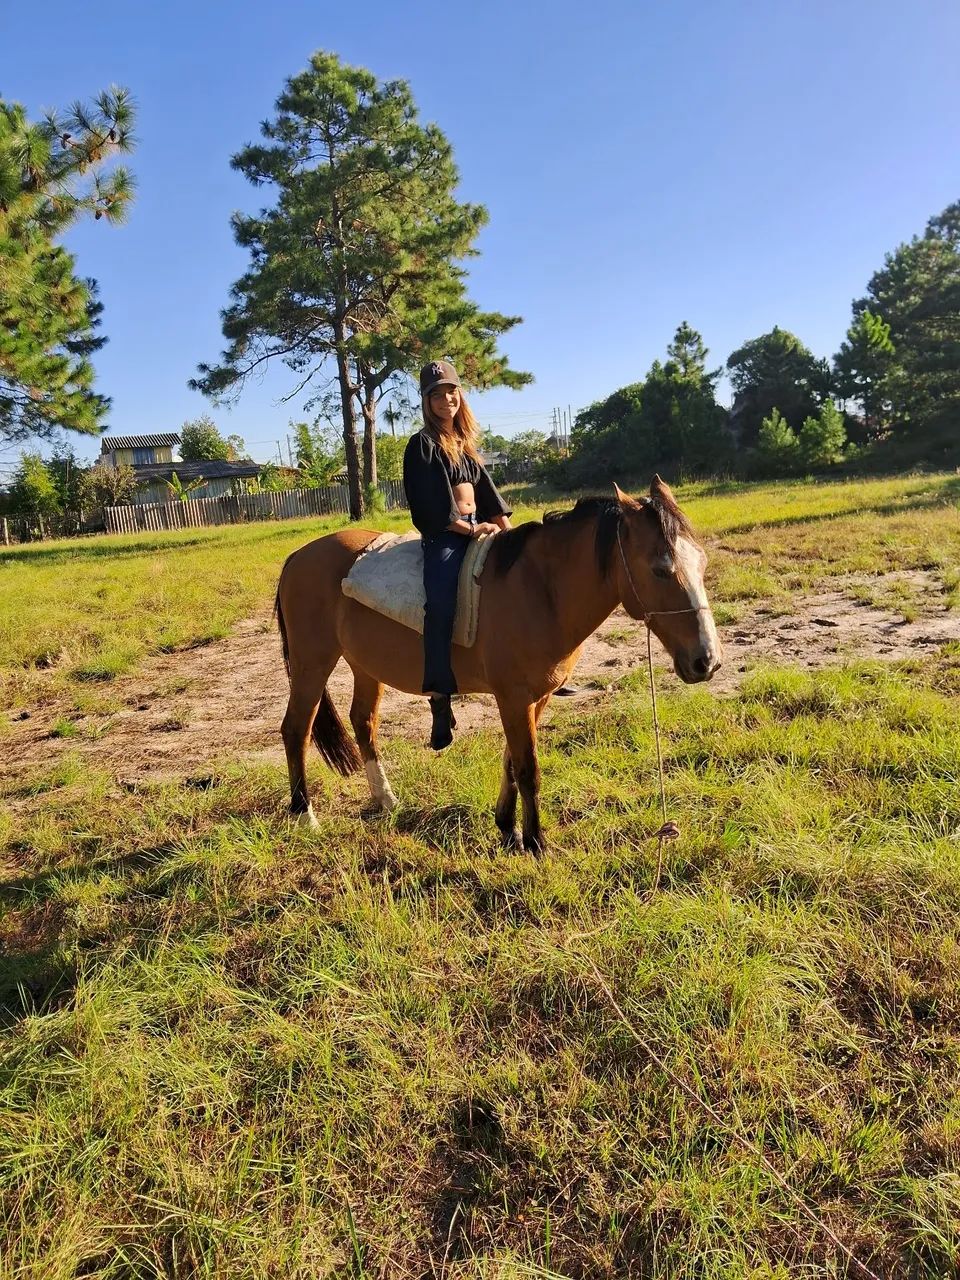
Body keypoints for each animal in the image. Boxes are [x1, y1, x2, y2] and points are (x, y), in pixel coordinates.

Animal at [274, 477, 722, 852]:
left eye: (702, 562)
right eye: (661, 569)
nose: (708, 661)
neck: (541, 590)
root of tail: (297, 556)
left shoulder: (536, 698)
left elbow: (511, 760)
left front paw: (507, 827)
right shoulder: (513, 698)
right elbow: (528, 769)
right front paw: (536, 842)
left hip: (366, 666)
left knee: (363, 722)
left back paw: (385, 798)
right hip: (313, 662)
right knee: (296, 729)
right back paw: (305, 816)